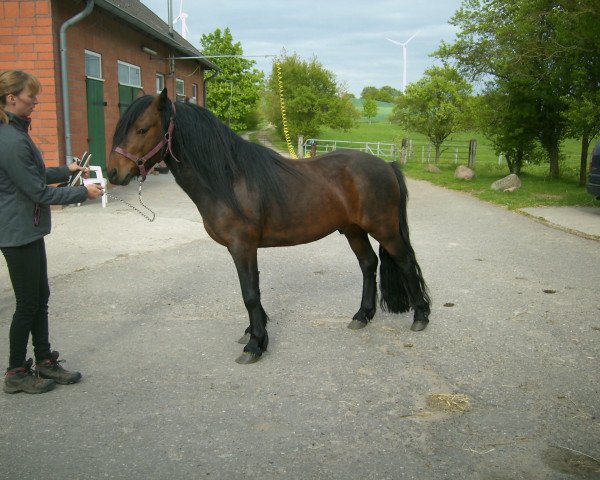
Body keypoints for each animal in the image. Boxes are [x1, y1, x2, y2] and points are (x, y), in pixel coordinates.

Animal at [106, 90, 426, 364]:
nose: (113, 172)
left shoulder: (243, 246)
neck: (229, 181)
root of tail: (387, 165)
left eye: (142, 129)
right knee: (368, 264)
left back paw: (420, 317)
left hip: (384, 229)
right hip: (353, 230)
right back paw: (362, 315)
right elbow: (252, 292)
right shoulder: (240, 250)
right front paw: (254, 332)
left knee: (405, 262)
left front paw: (255, 345)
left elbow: (249, 293)